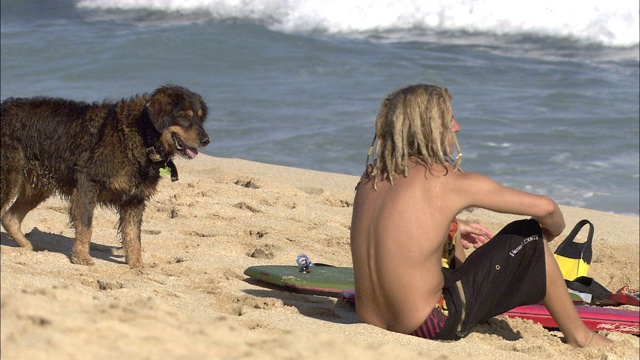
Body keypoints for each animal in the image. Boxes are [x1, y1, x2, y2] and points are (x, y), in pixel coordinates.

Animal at [0, 84, 210, 268]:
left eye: (200, 119)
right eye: (183, 116)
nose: (206, 140)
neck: (142, 137)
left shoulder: (134, 199)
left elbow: (133, 237)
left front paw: (138, 266)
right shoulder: (87, 184)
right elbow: (86, 226)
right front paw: (81, 257)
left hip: (38, 187)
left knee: (9, 218)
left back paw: (28, 246)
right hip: (9, 180)